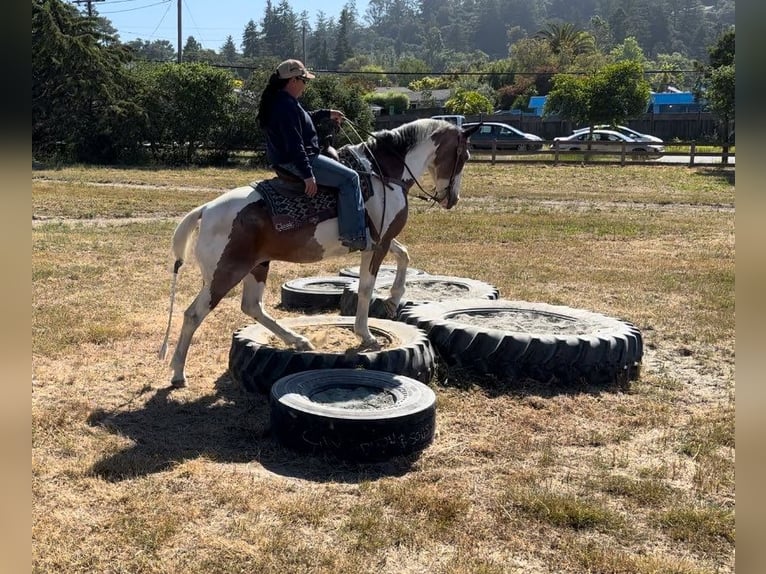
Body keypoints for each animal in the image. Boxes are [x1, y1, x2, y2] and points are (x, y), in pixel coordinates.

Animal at [159, 117, 480, 390]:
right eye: (464, 157)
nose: (452, 199)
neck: (384, 174)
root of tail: (206, 210)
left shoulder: (380, 240)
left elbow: (405, 255)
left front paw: (392, 300)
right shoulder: (378, 245)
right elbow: (367, 287)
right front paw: (366, 334)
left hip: (257, 265)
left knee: (252, 306)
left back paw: (298, 341)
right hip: (225, 274)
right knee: (194, 314)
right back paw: (178, 373)